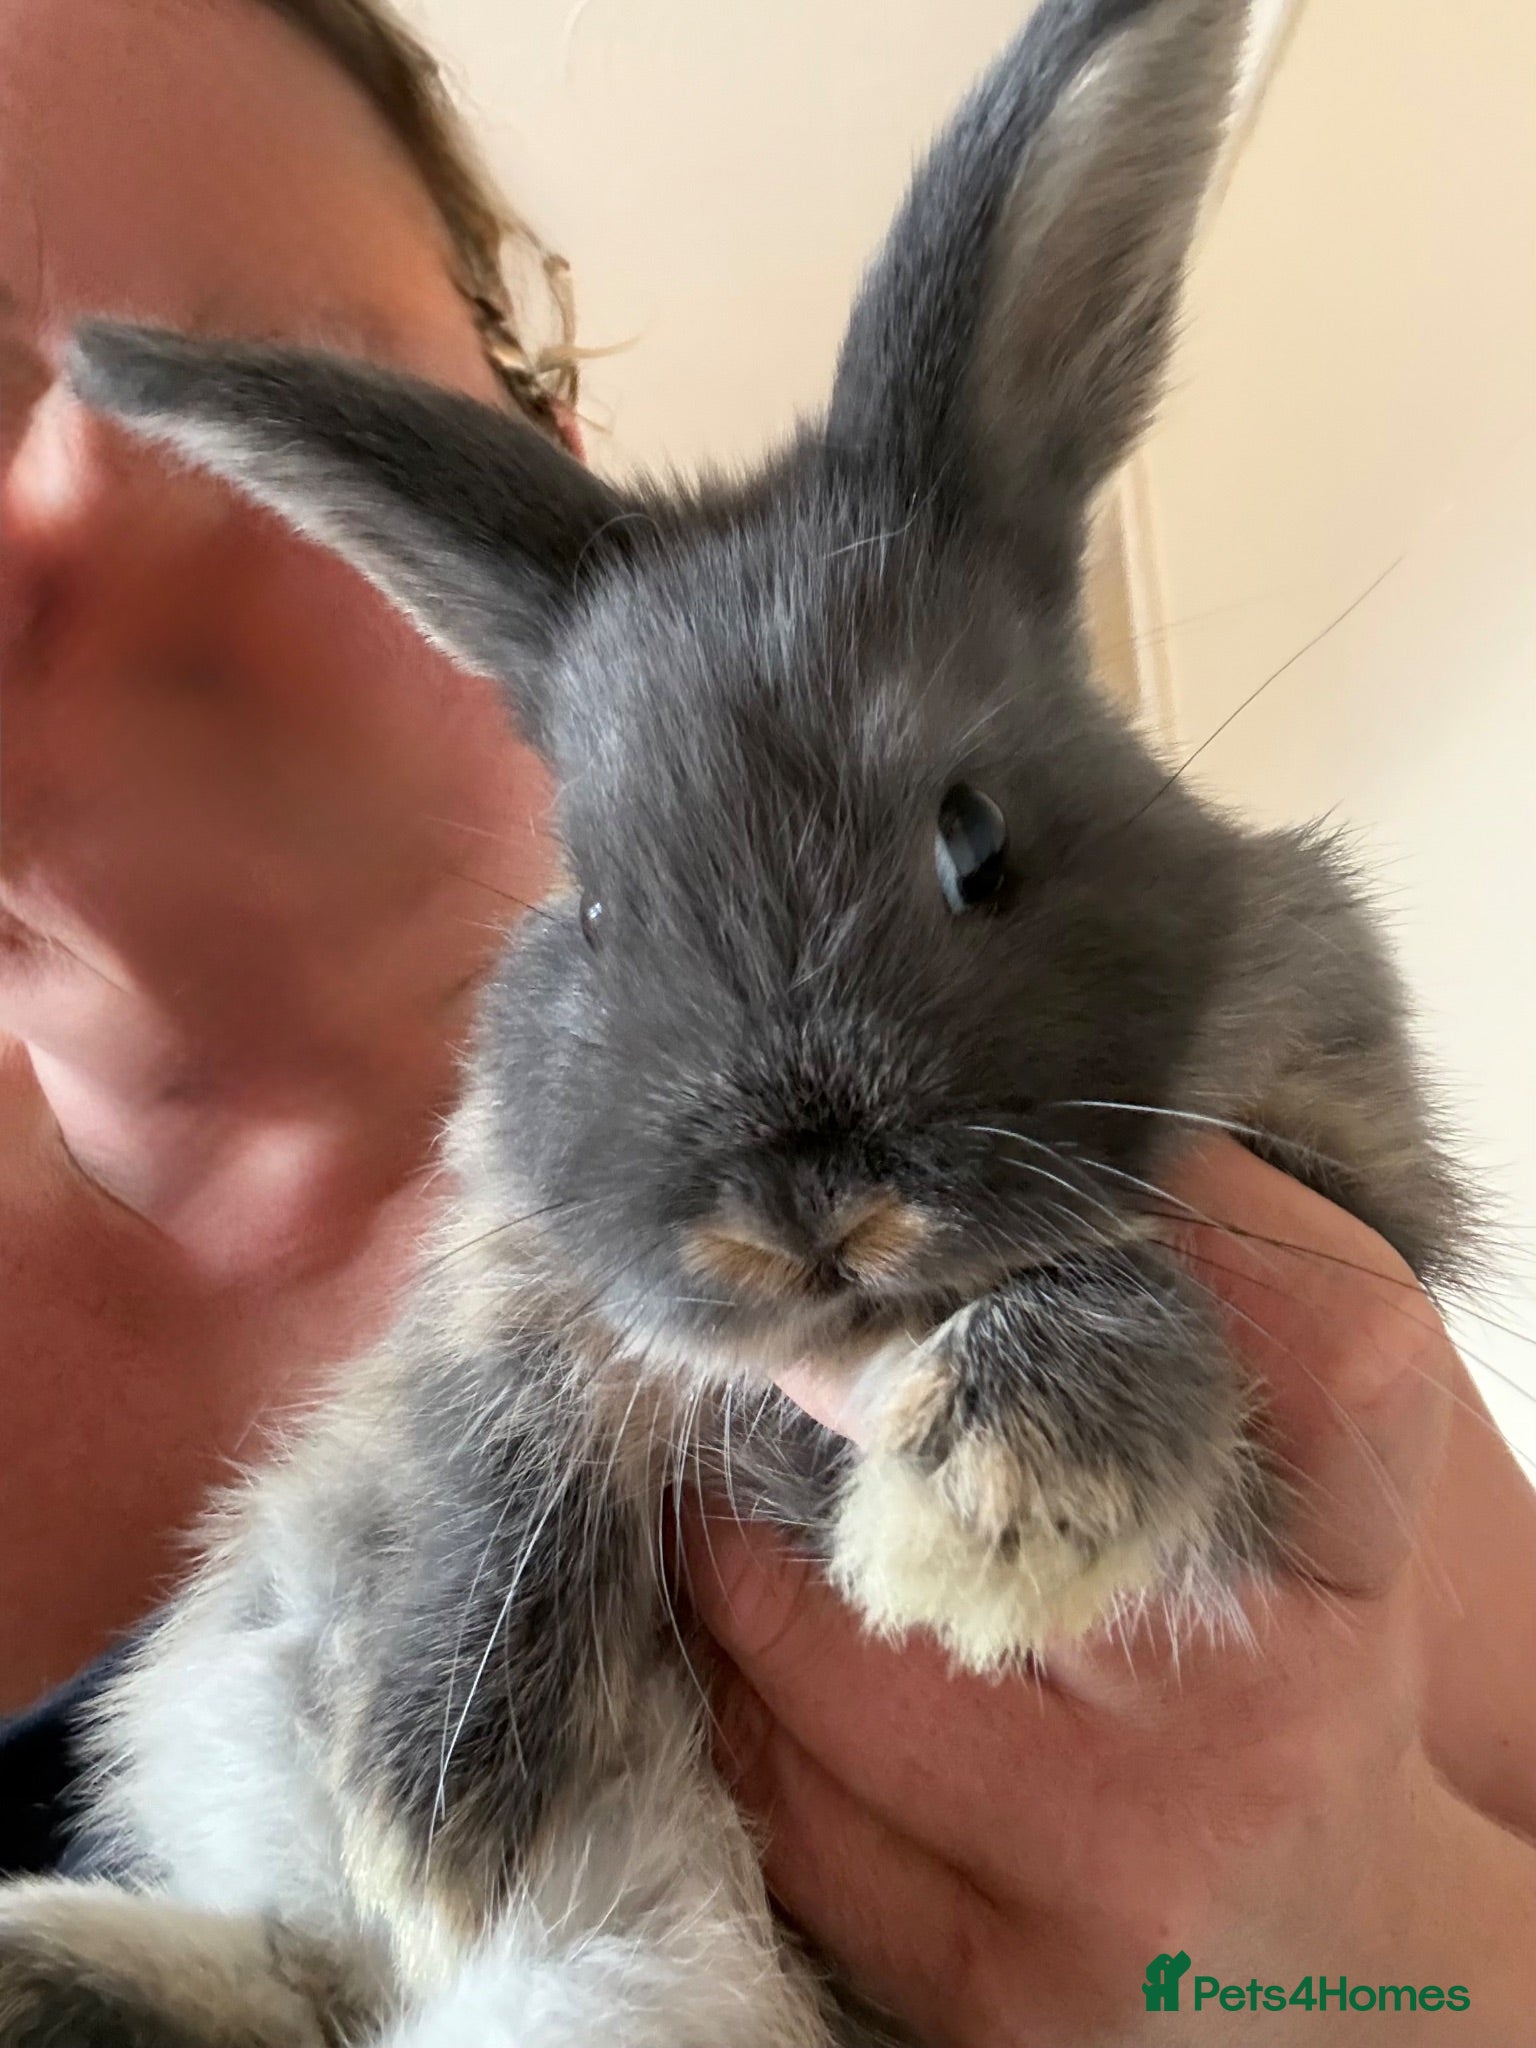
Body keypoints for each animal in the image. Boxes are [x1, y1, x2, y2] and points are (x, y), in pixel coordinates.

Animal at [0, 0, 1469, 2042]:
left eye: (974, 835)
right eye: (594, 902)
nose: (796, 1201)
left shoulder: (1345, 1190)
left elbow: (1117, 1294)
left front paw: (986, 1511)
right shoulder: (512, 1286)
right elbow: (509, 1411)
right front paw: (437, 1789)